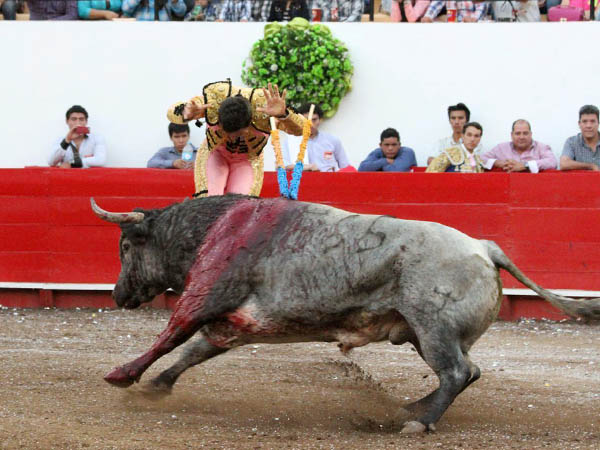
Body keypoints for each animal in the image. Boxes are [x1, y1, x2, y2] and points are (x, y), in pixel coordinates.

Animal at [90, 195, 600, 434]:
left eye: (125, 247)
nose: (116, 295)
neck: (209, 231)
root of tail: (484, 247)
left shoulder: (204, 296)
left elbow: (174, 333)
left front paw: (122, 375)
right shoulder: (235, 324)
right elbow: (195, 350)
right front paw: (157, 385)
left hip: (433, 329)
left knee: (456, 372)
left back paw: (417, 422)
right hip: (425, 335)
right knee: (466, 372)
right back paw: (413, 408)